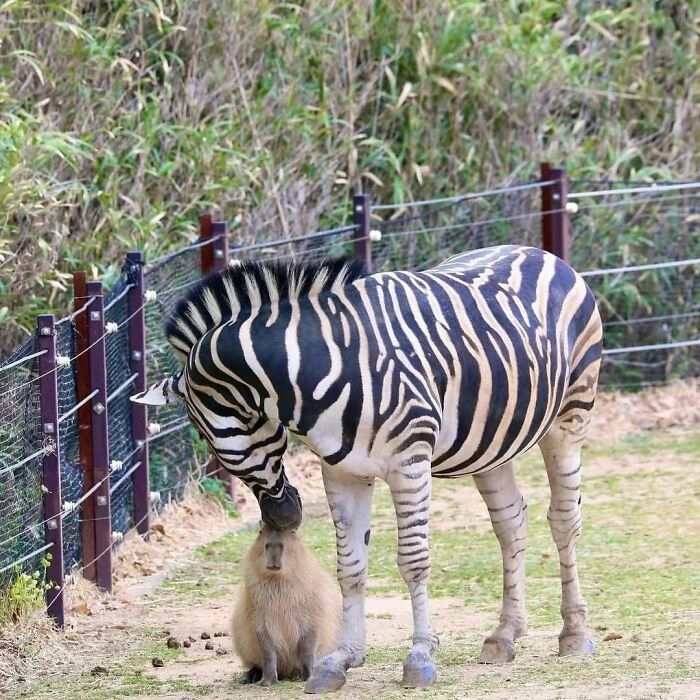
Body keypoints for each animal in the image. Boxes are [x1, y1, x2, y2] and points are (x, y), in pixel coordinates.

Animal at [132, 245, 603, 693]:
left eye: (248, 423)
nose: (284, 518)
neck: (321, 366)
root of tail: (540, 253)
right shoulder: (342, 471)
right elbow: (351, 566)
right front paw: (342, 659)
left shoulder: (410, 461)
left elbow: (413, 560)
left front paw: (420, 656)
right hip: (490, 445)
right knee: (511, 523)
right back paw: (505, 635)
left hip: (570, 417)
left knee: (564, 519)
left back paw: (574, 633)